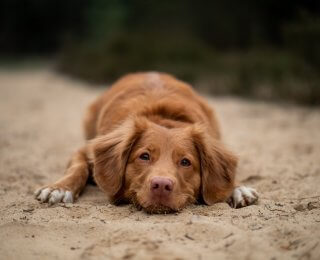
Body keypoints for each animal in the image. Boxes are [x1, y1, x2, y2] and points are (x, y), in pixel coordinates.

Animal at [34, 72, 258, 212]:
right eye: (144, 156)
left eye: (185, 162)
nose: (161, 185)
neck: (163, 117)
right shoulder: (85, 150)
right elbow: (78, 168)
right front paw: (59, 188)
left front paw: (237, 188)